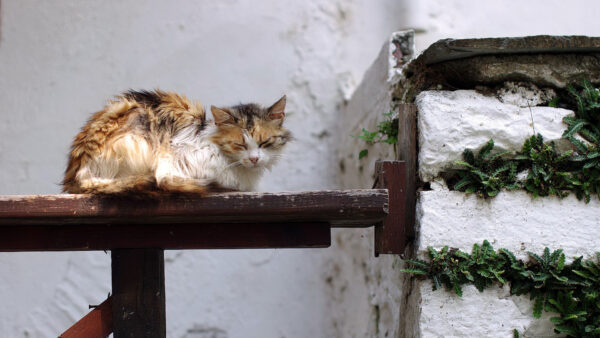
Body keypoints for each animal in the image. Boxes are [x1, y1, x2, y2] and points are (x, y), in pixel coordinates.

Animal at [62, 89, 292, 195]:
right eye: (240, 145)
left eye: (265, 143)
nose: (254, 159)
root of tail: (75, 175)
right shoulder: (170, 161)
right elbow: (166, 180)